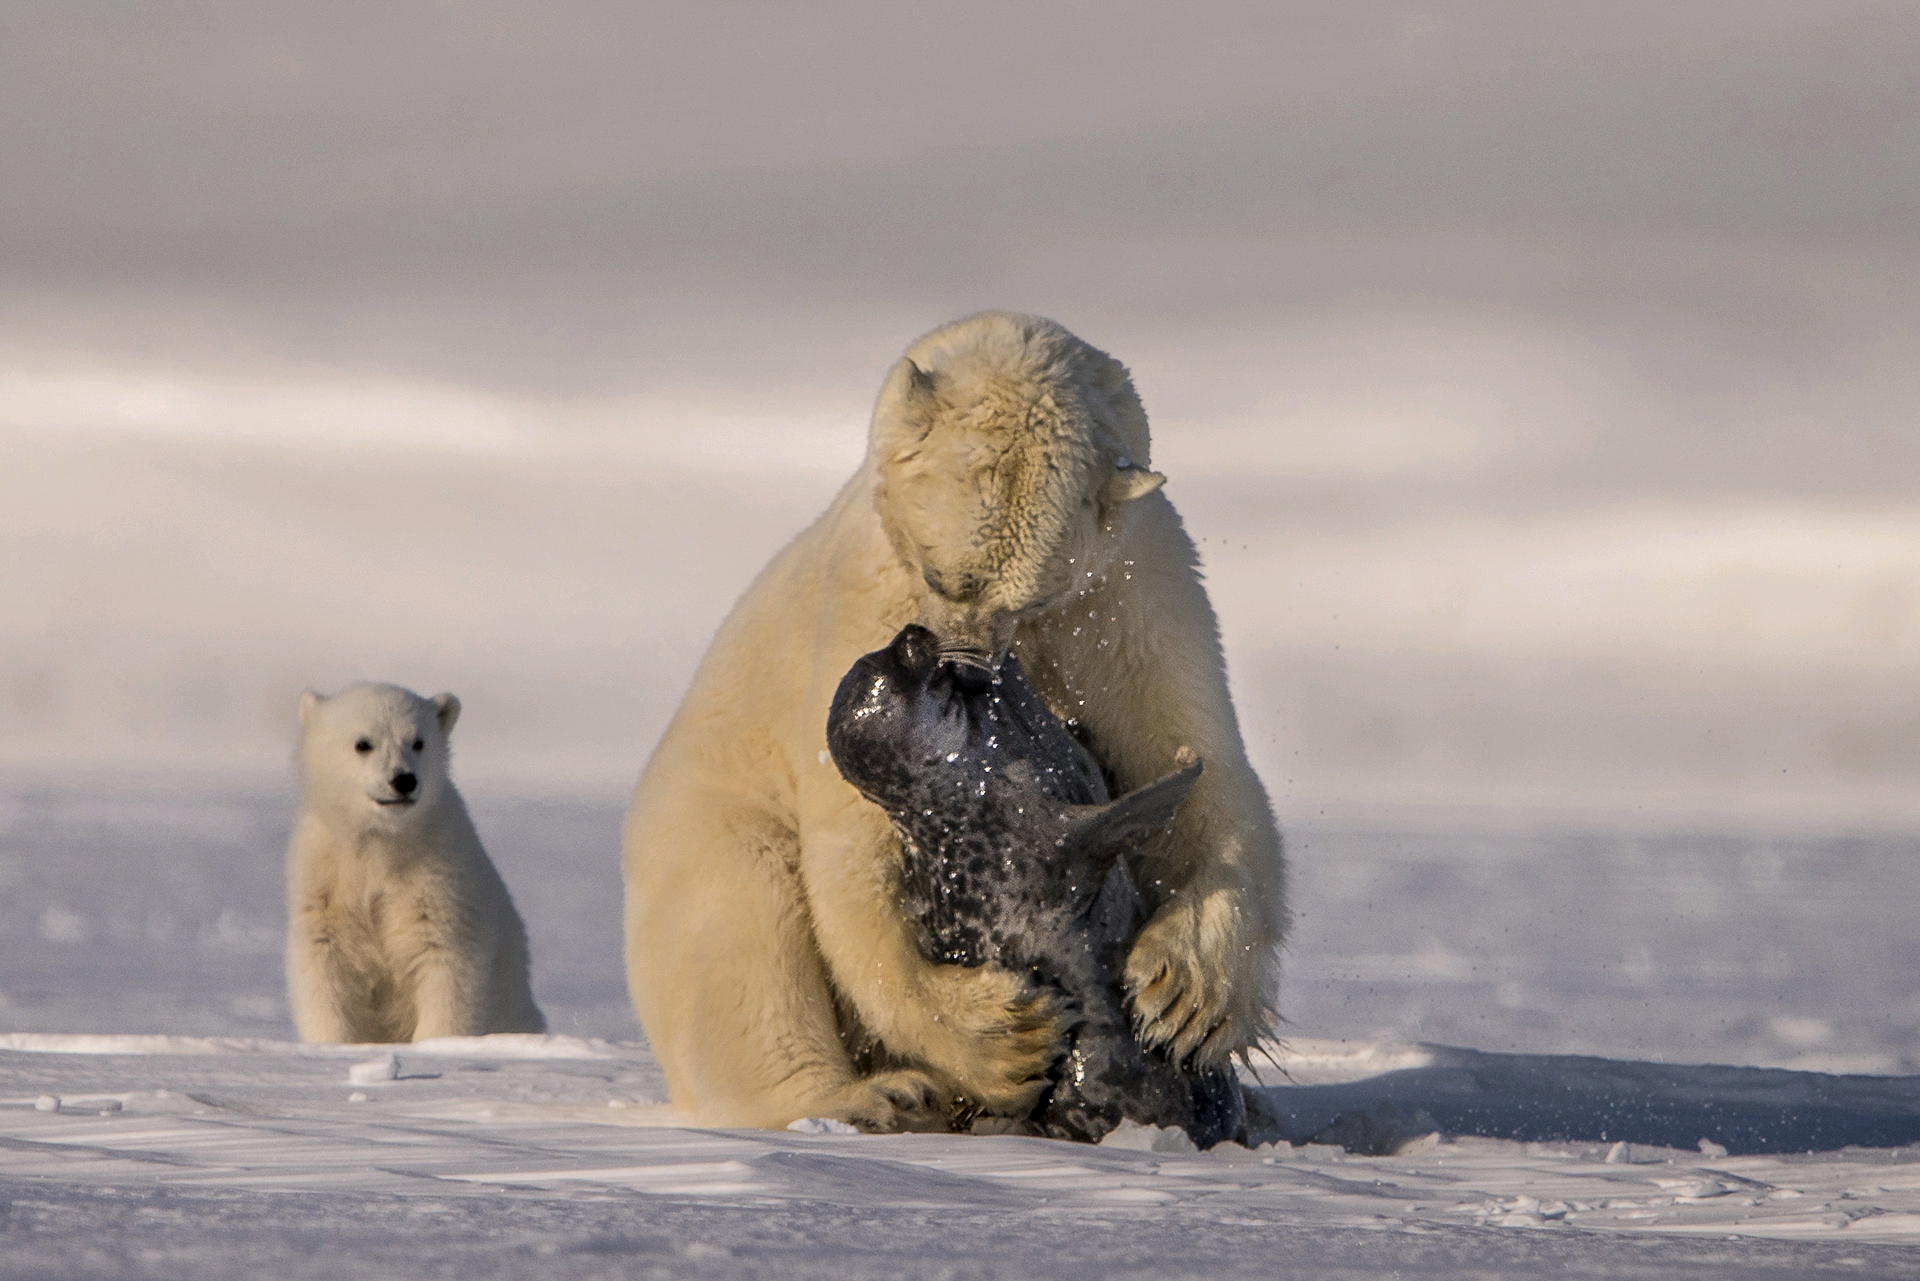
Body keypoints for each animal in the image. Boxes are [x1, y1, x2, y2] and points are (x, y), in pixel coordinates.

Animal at [289, 679, 549, 1044]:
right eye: (363, 743)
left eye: (418, 742)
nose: (404, 780)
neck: (382, 845)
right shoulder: (325, 880)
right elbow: (325, 968)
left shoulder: (438, 877)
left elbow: (446, 963)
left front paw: (436, 1044)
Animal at [629, 313, 1282, 1129]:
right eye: (944, 578)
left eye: (1034, 595)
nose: (964, 664)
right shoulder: (867, 597)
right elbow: (856, 853)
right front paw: (1004, 1036)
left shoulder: (1131, 593)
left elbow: (1195, 760)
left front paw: (1186, 994)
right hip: (702, 817)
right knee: (741, 927)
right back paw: (878, 1094)